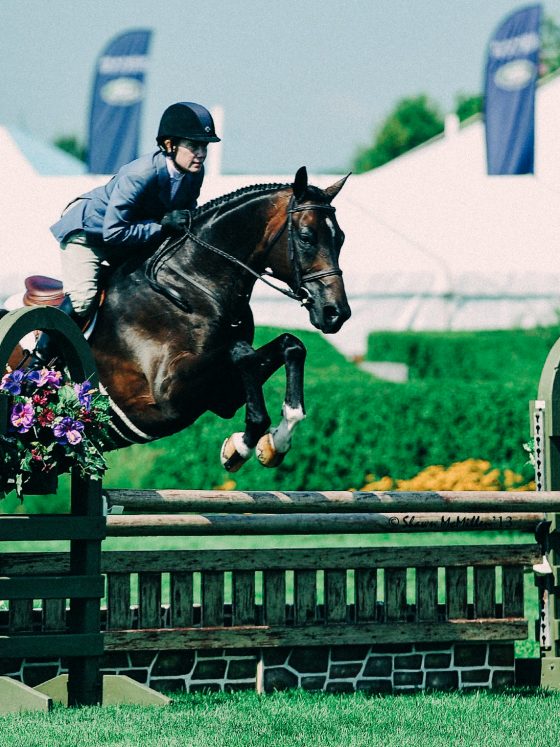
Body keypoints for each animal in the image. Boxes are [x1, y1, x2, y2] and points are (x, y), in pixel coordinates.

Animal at [15, 166, 351, 472]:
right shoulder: (168, 399)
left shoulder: (220, 397)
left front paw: (274, 442)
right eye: (306, 237)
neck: (193, 284)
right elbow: (241, 353)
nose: (336, 313)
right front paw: (240, 447)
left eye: (342, 238)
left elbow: (290, 345)